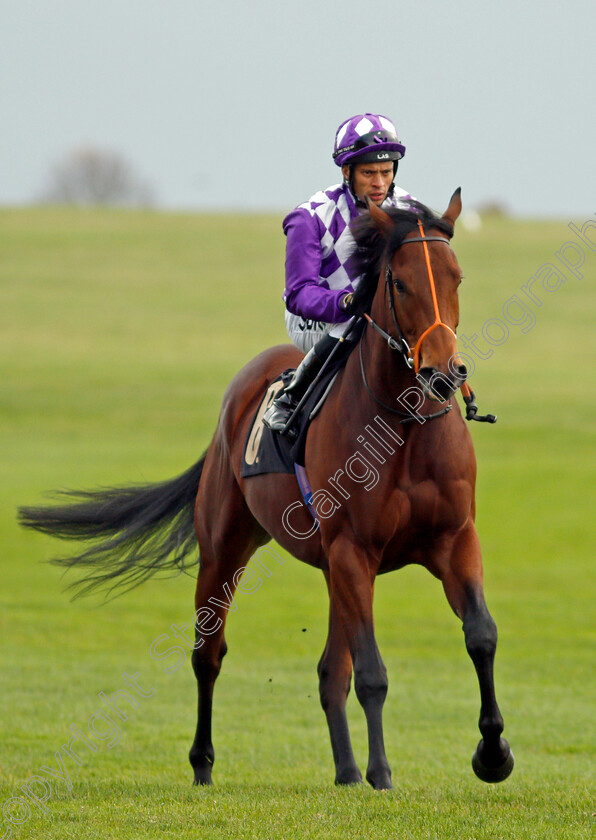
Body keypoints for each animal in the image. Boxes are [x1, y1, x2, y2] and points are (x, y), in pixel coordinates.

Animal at [18, 189, 512, 788]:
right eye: (399, 283)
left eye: (456, 277)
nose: (444, 373)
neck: (405, 429)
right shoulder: (353, 550)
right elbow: (372, 672)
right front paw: (382, 774)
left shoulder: (452, 540)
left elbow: (480, 635)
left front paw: (493, 754)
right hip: (227, 547)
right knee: (209, 655)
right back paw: (204, 765)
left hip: (330, 568)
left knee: (329, 671)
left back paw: (346, 773)